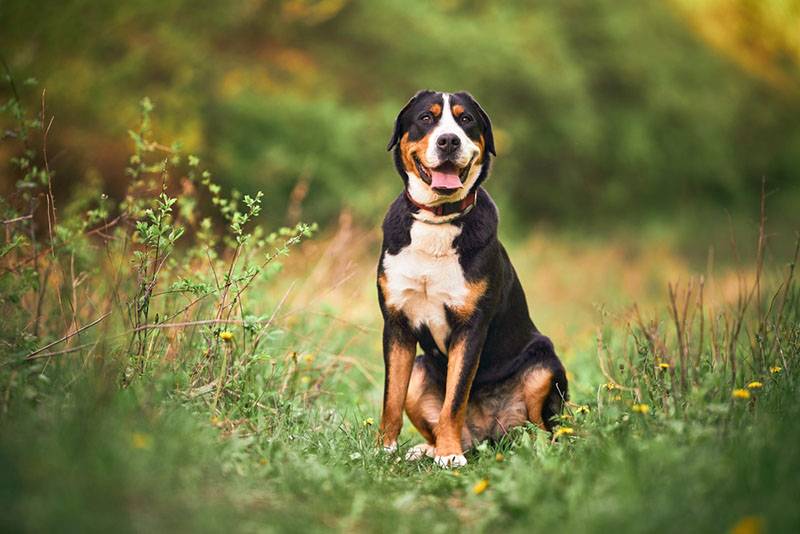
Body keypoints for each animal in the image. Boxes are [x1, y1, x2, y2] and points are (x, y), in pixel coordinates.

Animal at [376, 91, 568, 468]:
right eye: (426, 118)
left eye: (466, 120)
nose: (449, 140)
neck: (437, 222)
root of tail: (485, 434)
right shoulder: (396, 323)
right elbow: (391, 399)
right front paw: (382, 450)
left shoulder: (471, 327)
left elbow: (455, 399)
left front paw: (449, 456)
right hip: (420, 372)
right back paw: (429, 448)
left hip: (543, 364)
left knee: (548, 430)